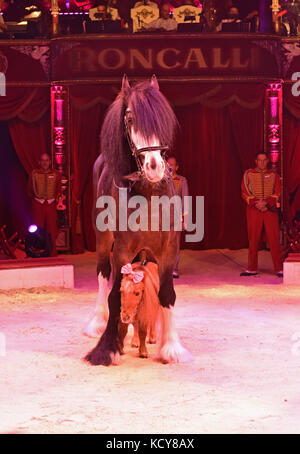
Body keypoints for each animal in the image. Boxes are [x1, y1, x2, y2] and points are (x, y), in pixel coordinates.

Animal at [84, 74, 192, 366]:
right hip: (103, 239)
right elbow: (115, 295)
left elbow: (165, 293)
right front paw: (107, 348)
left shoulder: (168, 249)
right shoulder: (122, 249)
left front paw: (171, 346)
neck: (148, 192)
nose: (154, 166)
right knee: (102, 275)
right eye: (130, 119)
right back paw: (97, 322)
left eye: (161, 120)